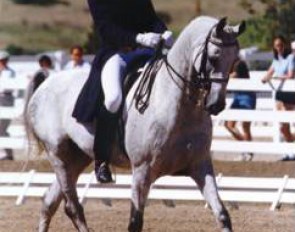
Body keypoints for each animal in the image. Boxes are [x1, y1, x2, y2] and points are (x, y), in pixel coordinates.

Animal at [25, 16, 246, 232]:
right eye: (214, 58)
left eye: (234, 60)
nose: (216, 104)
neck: (177, 105)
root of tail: (45, 85)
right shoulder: (142, 170)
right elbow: (135, 222)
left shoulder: (200, 166)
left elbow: (222, 215)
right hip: (58, 155)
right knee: (73, 207)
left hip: (77, 157)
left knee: (49, 202)